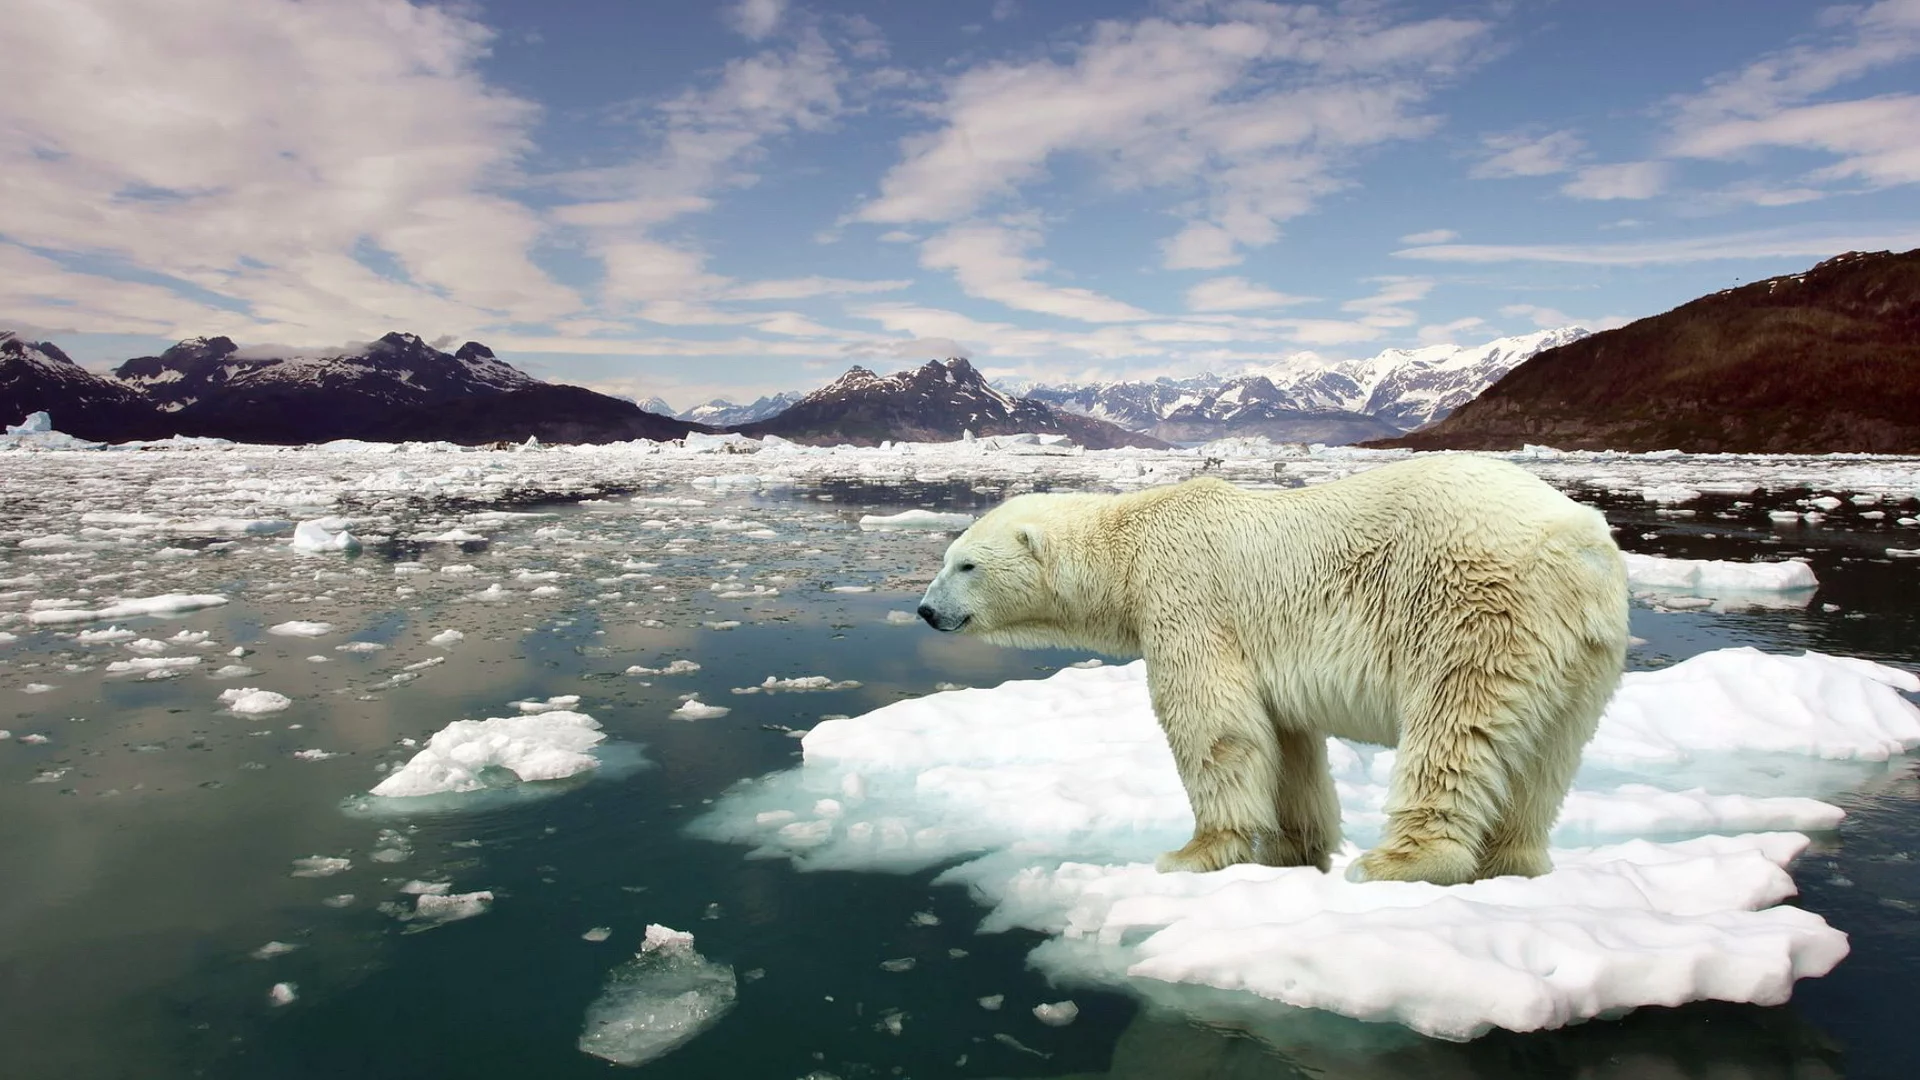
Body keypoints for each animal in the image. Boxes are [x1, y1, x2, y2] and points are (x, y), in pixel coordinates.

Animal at [913, 453, 1620, 883]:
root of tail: (1578, 543)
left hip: (1472, 608)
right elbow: (1287, 742)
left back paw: (1397, 862)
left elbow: (1214, 725)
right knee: (1546, 756)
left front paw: (1193, 853)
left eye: (965, 564)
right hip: (1582, 654)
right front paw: (1294, 849)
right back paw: (1510, 862)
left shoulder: (1186, 596)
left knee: (1454, 727)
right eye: (947, 557)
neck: (1130, 545)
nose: (924, 610)